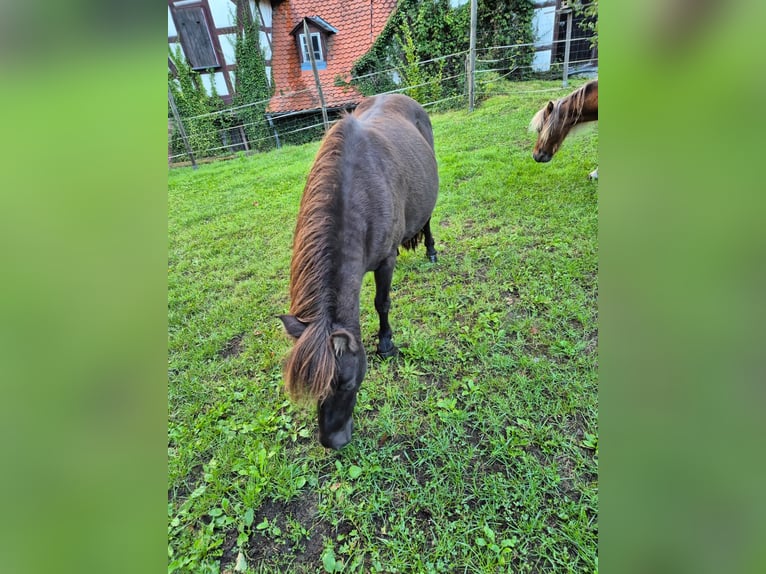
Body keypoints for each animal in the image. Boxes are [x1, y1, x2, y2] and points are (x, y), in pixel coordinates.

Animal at [279, 93, 439, 450]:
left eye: (348, 384)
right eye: (314, 391)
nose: (332, 442)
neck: (357, 191)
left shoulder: (385, 261)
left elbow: (382, 303)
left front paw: (386, 344)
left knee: (428, 220)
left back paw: (432, 251)